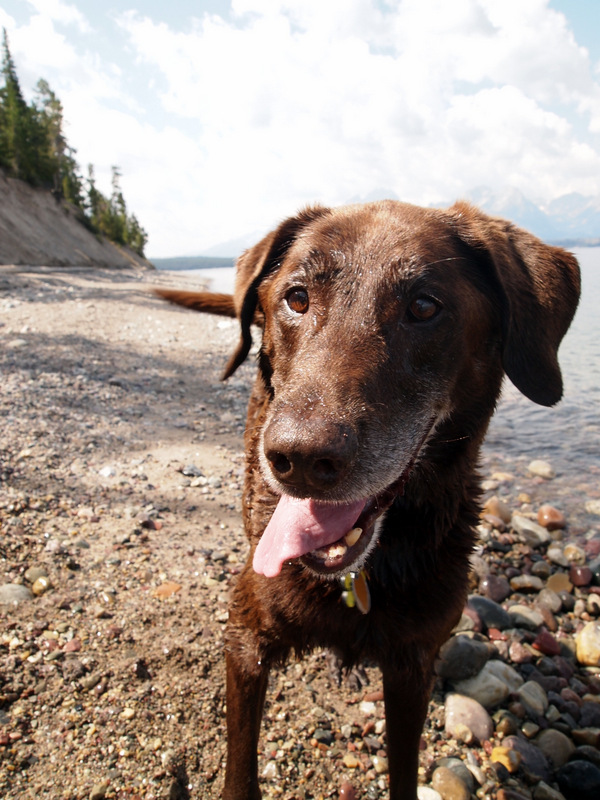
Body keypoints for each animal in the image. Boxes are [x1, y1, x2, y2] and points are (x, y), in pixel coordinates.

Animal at [156, 202, 580, 800]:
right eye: (297, 297)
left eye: (424, 306)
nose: (299, 458)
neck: (357, 576)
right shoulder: (245, 638)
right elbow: (240, 770)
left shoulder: (412, 666)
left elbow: (403, 770)